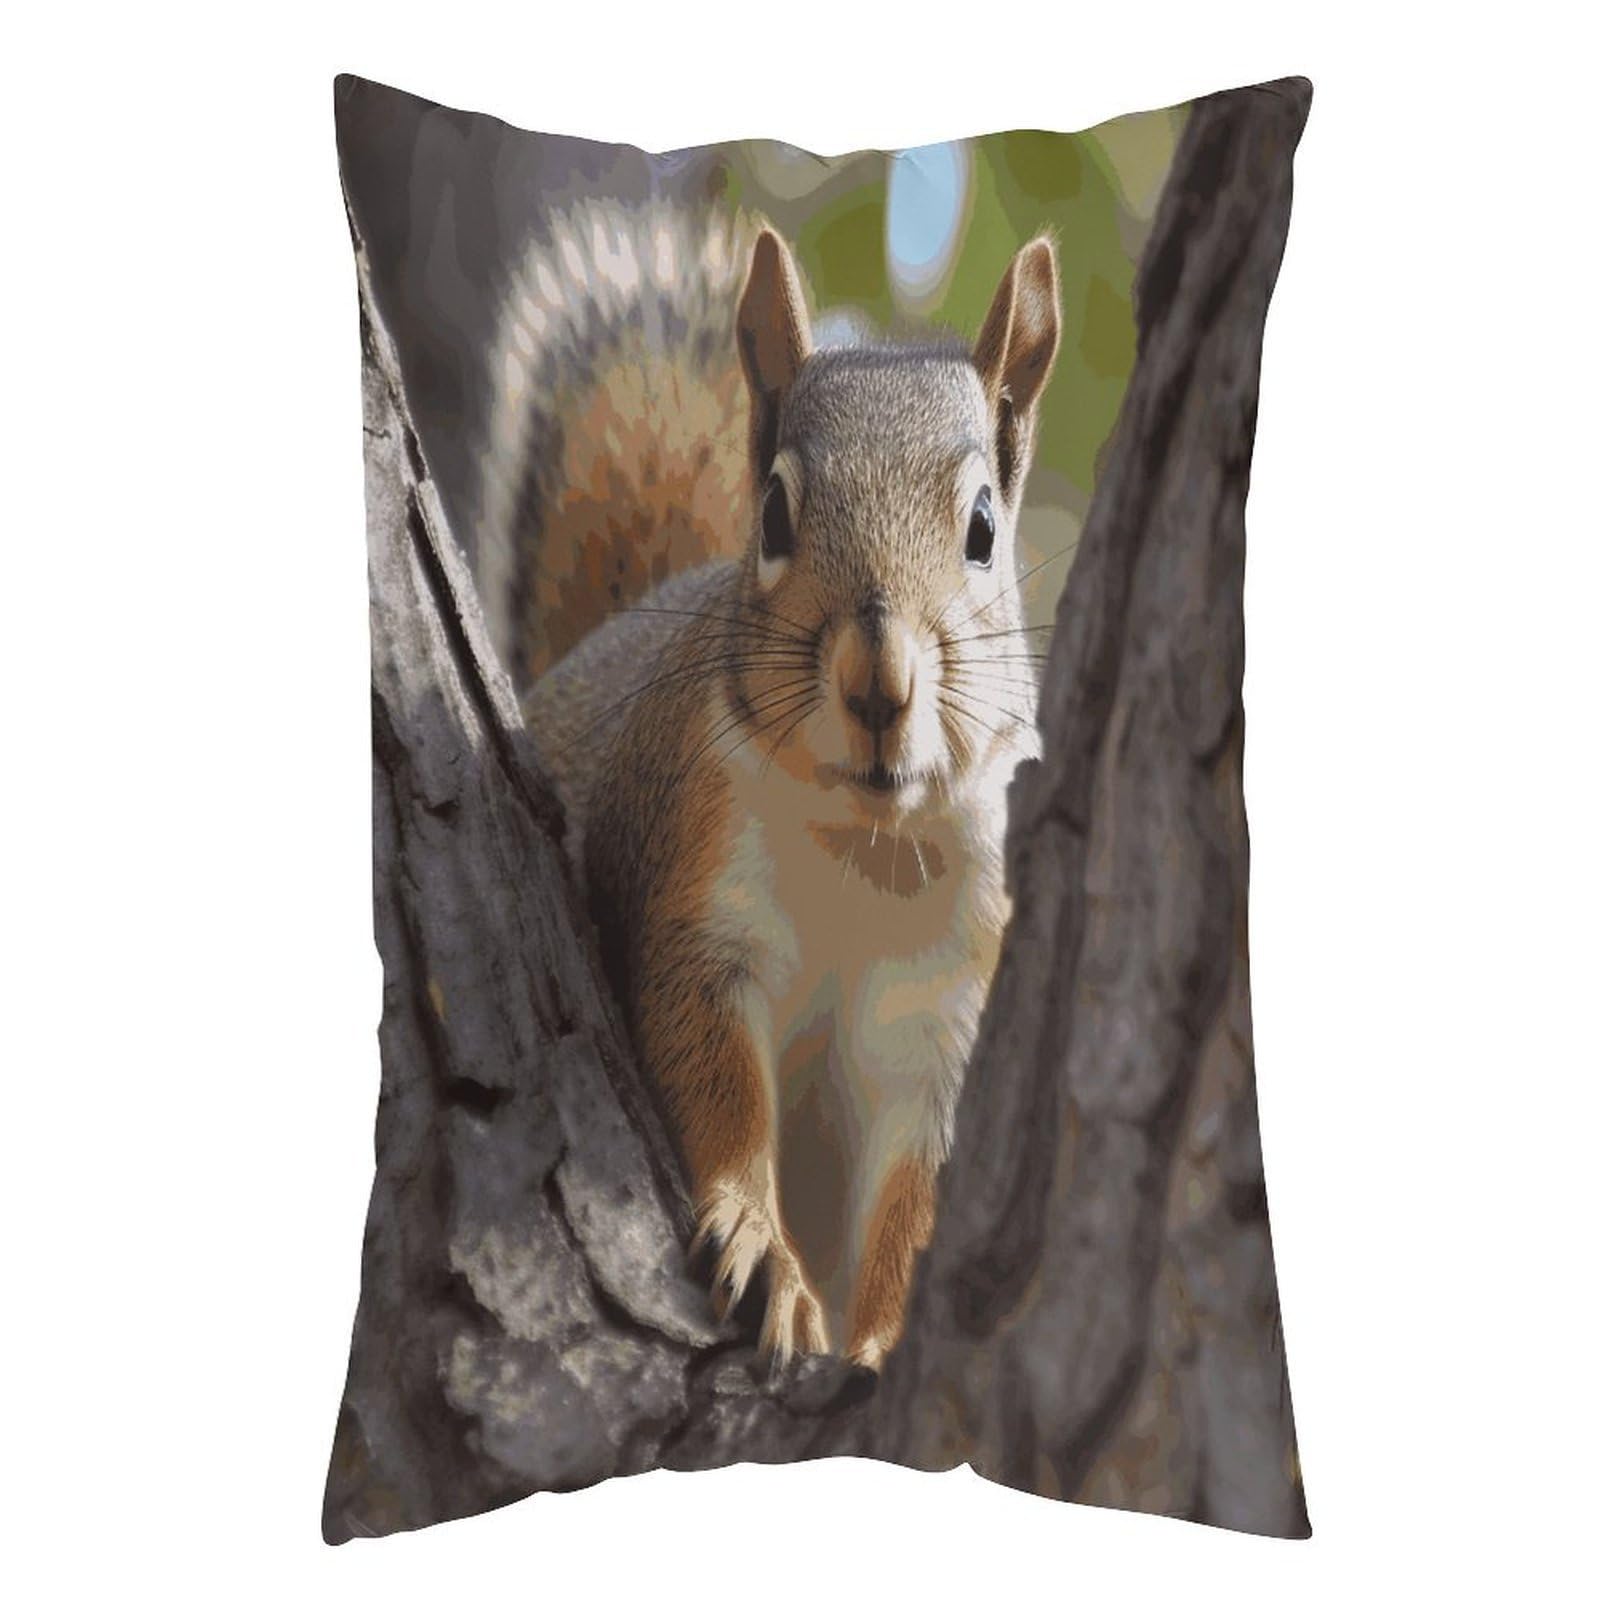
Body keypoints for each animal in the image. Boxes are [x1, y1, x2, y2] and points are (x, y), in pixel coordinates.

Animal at [478, 199, 1060, 1367]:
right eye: (778, 514)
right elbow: (714, 1079)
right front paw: (761, 1248)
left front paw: (881, 1340)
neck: (867, 843)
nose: (878, 681)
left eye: (984, 528)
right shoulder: (697, 897)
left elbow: (918, 1193)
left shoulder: (949, 1005)